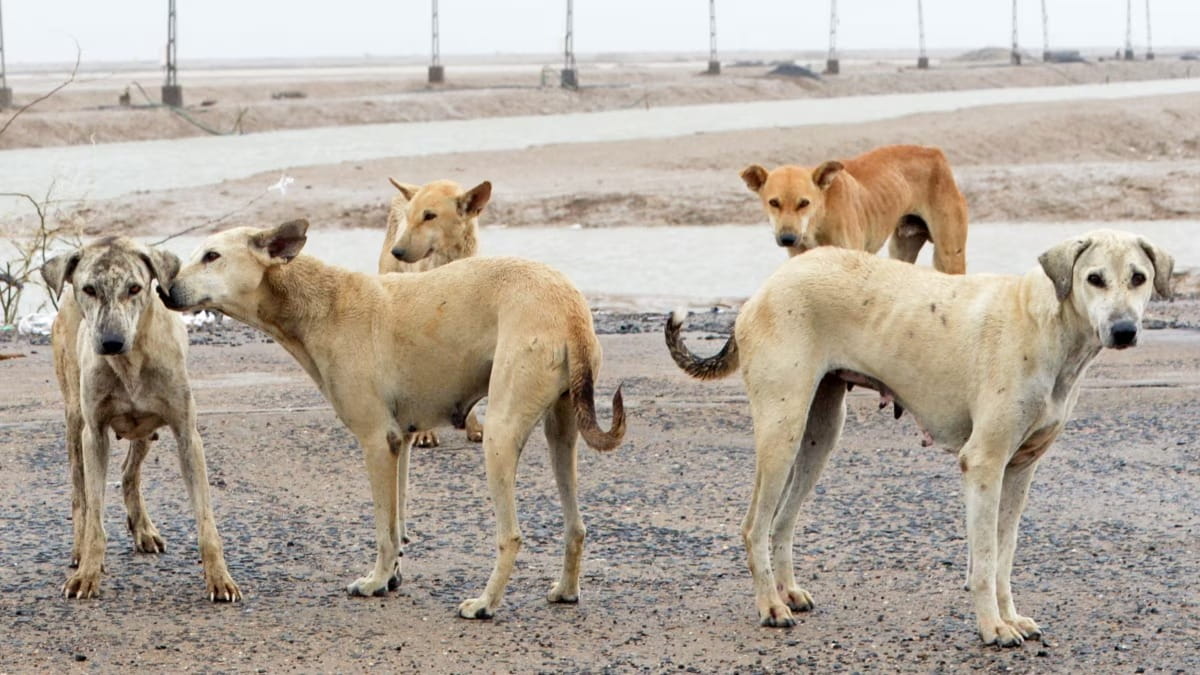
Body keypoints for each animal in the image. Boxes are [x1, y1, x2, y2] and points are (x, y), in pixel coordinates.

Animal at [40, 236, 241, 598]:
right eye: (89, 289)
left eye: (134, 288)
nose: (111, 342)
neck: (130, 362)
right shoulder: (94, 435)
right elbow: (94, 514)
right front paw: (88, 572)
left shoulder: (187, 435)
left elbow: (206, 520)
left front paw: (219, 578)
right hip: (75, 422)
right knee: (80, 494)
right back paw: (80, 550)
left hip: (145, 432)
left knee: (128, 474)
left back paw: (143, 529)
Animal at [162, 218, 628, 619]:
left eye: (212, 256)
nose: (163, 290)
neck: (323, 304)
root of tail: (570, 310)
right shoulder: (400, 442)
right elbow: (399, 522)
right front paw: (393, 576)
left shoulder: (375, 442)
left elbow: (384, 529)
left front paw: (376, 581)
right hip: (561, 435)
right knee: (576, 526)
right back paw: (565, 590)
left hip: (499, 436)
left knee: (510, 536)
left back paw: (485, 603)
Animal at [662, 229, 1166, 638]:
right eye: (1094, 278)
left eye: (1139, 277)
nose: (1124, 330)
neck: (1046, 325)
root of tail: (763, 289)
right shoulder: (983, 464)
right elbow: (984, 561)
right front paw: (992, 628)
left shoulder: (1019, 471)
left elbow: (1003, 557)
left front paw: (1009, 617)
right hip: (780, 431)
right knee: (754, 526)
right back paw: (769, 605)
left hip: (819, 436)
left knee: (782, 521)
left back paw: (787, 593)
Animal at [744, 142, 969, 271]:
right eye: (774, 202)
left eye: (804, 203)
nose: (788, 239)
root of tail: (935, 153)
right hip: (901, 249)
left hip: (949, 256)